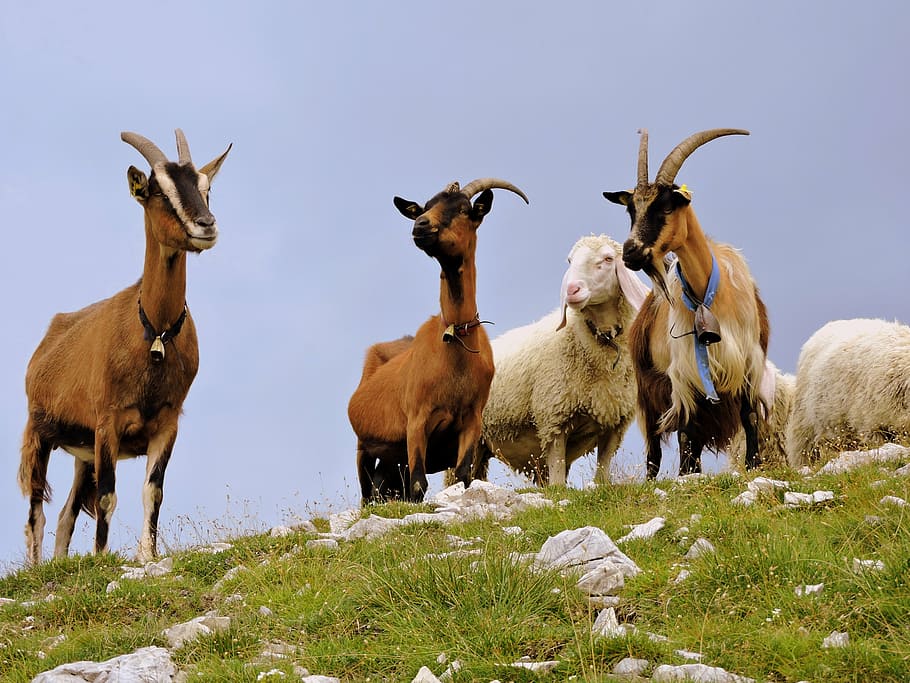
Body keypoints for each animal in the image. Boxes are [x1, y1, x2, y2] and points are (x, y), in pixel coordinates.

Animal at [19, 129, 230, 564]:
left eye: (207, 188)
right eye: (158, 191)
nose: (206, 225)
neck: (154, 332)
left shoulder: (167, 423)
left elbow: (154, 491)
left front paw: (147, 556)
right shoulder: (108, 423)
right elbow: (107, 497)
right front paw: (102, 558)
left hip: (82, 452)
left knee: (65, 513)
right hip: (40, 431)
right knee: (36, 513)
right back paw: (36, 568)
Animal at [348, 179, 528, 504]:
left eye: (464, 209)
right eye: (426, 206)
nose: (420, 225)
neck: (456, 345)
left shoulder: (471, 422)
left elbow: (464, 477)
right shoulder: (417, 421)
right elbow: (419, 486)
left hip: (392, 460)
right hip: (363, 447)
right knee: (368, 494)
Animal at [477, 234, 650, 486]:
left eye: (608, 259)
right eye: (570, 260)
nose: (571, 289)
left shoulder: (614, 423)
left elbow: (603, 470)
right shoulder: (554, 420)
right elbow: (557, 479)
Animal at [603, 129, 770, 478]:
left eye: (666, 207)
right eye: (631, 210)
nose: (630, 252)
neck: (710, 295)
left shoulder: (748, 361)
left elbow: (749, 416)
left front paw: (753, 465)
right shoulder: (682, 373)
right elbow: (685, 430)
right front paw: (686, 476)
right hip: (647, 390)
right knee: (656, 443)